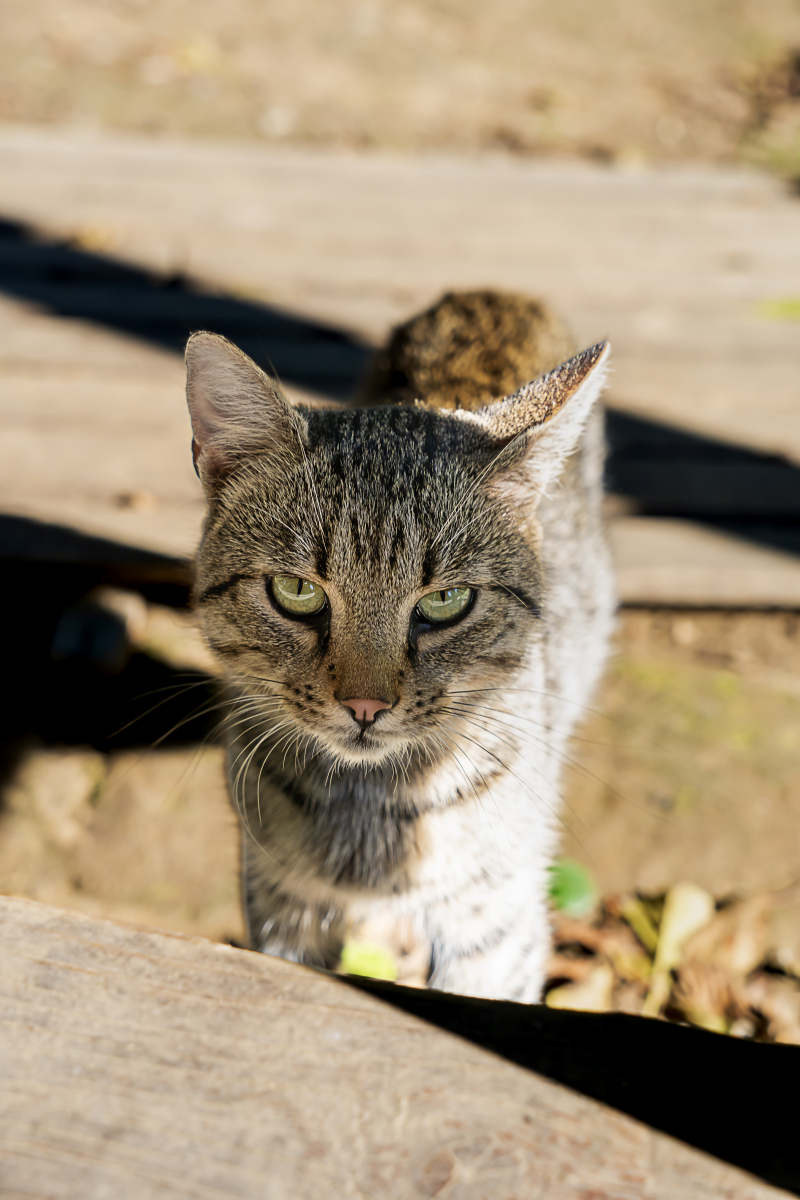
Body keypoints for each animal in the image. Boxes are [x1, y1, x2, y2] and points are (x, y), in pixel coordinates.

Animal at [185, 292, 614, 1003]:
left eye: (446, 602)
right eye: (296, 590)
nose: (365, 705)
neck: (376, 806)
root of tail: (495, 291)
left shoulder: (496, 924)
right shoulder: (279, 904)